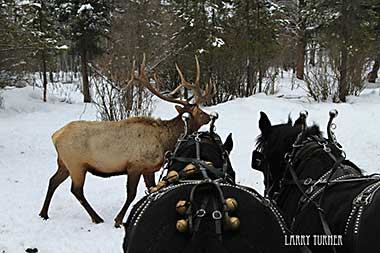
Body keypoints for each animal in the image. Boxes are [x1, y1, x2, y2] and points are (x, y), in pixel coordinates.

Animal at [40, 57, 215, 227]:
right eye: (200, 112)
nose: (210, 116)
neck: (165, 141)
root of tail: (55, 136)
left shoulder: (148, 168)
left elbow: (151, 189)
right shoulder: (134, 166)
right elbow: (131, 194)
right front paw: (119, 220)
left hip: (64, 163)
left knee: (53, 181)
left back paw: (44, 213)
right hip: (76, 164)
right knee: (76, 190)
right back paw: (96, 218)